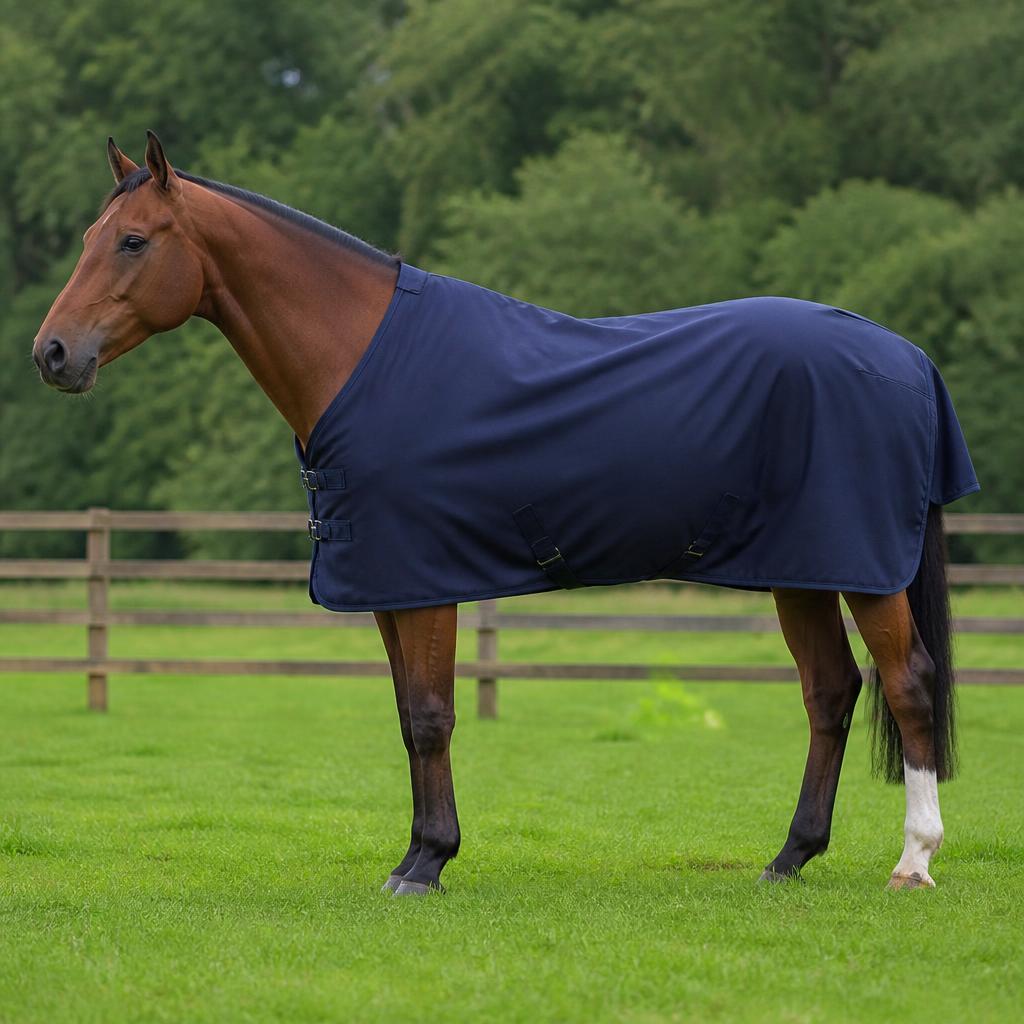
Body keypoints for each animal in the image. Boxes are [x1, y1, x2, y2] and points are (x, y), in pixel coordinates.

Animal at [33, 132, 976, 895]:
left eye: (132, 241)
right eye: (84, 241)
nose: (52, 354)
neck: (363, 357)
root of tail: (905, 356)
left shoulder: (425, 581)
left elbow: (431, 716)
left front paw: (428, 864)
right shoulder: (388, 584)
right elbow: (407, 717)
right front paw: (416, 855)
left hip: (863, 573)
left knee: (908, 683)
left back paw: (913, 861)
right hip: (803, 570)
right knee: (831, 692)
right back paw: (789, 858)